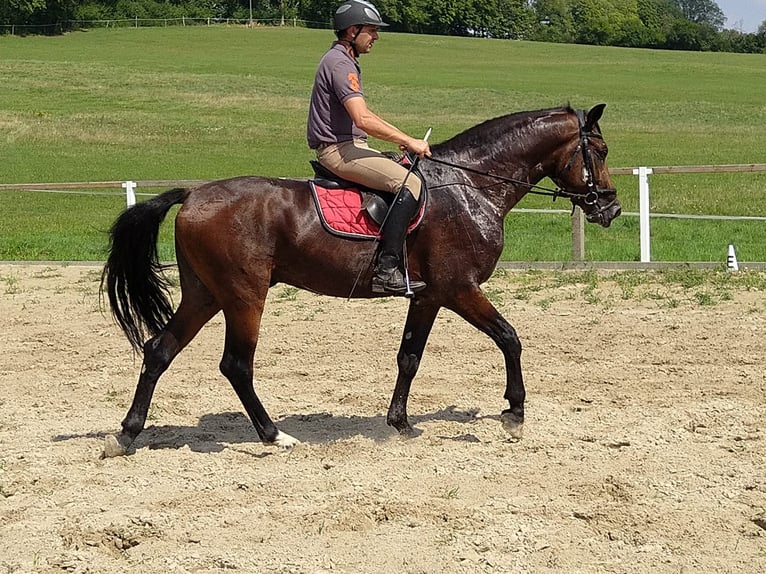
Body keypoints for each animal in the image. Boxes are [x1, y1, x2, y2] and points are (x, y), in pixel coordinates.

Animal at [100, 102, 624, 454]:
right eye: (598, 150)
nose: (613, 208)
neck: (471, 185)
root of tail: (192, 196)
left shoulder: (429, 296)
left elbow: (409, 357)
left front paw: (401, 424)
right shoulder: (459, 288)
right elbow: (510, 337)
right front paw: (514, 412)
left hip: (205, 294)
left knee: (160, 350)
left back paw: (126, 435)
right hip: (244, 295)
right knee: (236, 365)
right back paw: (274, 435)